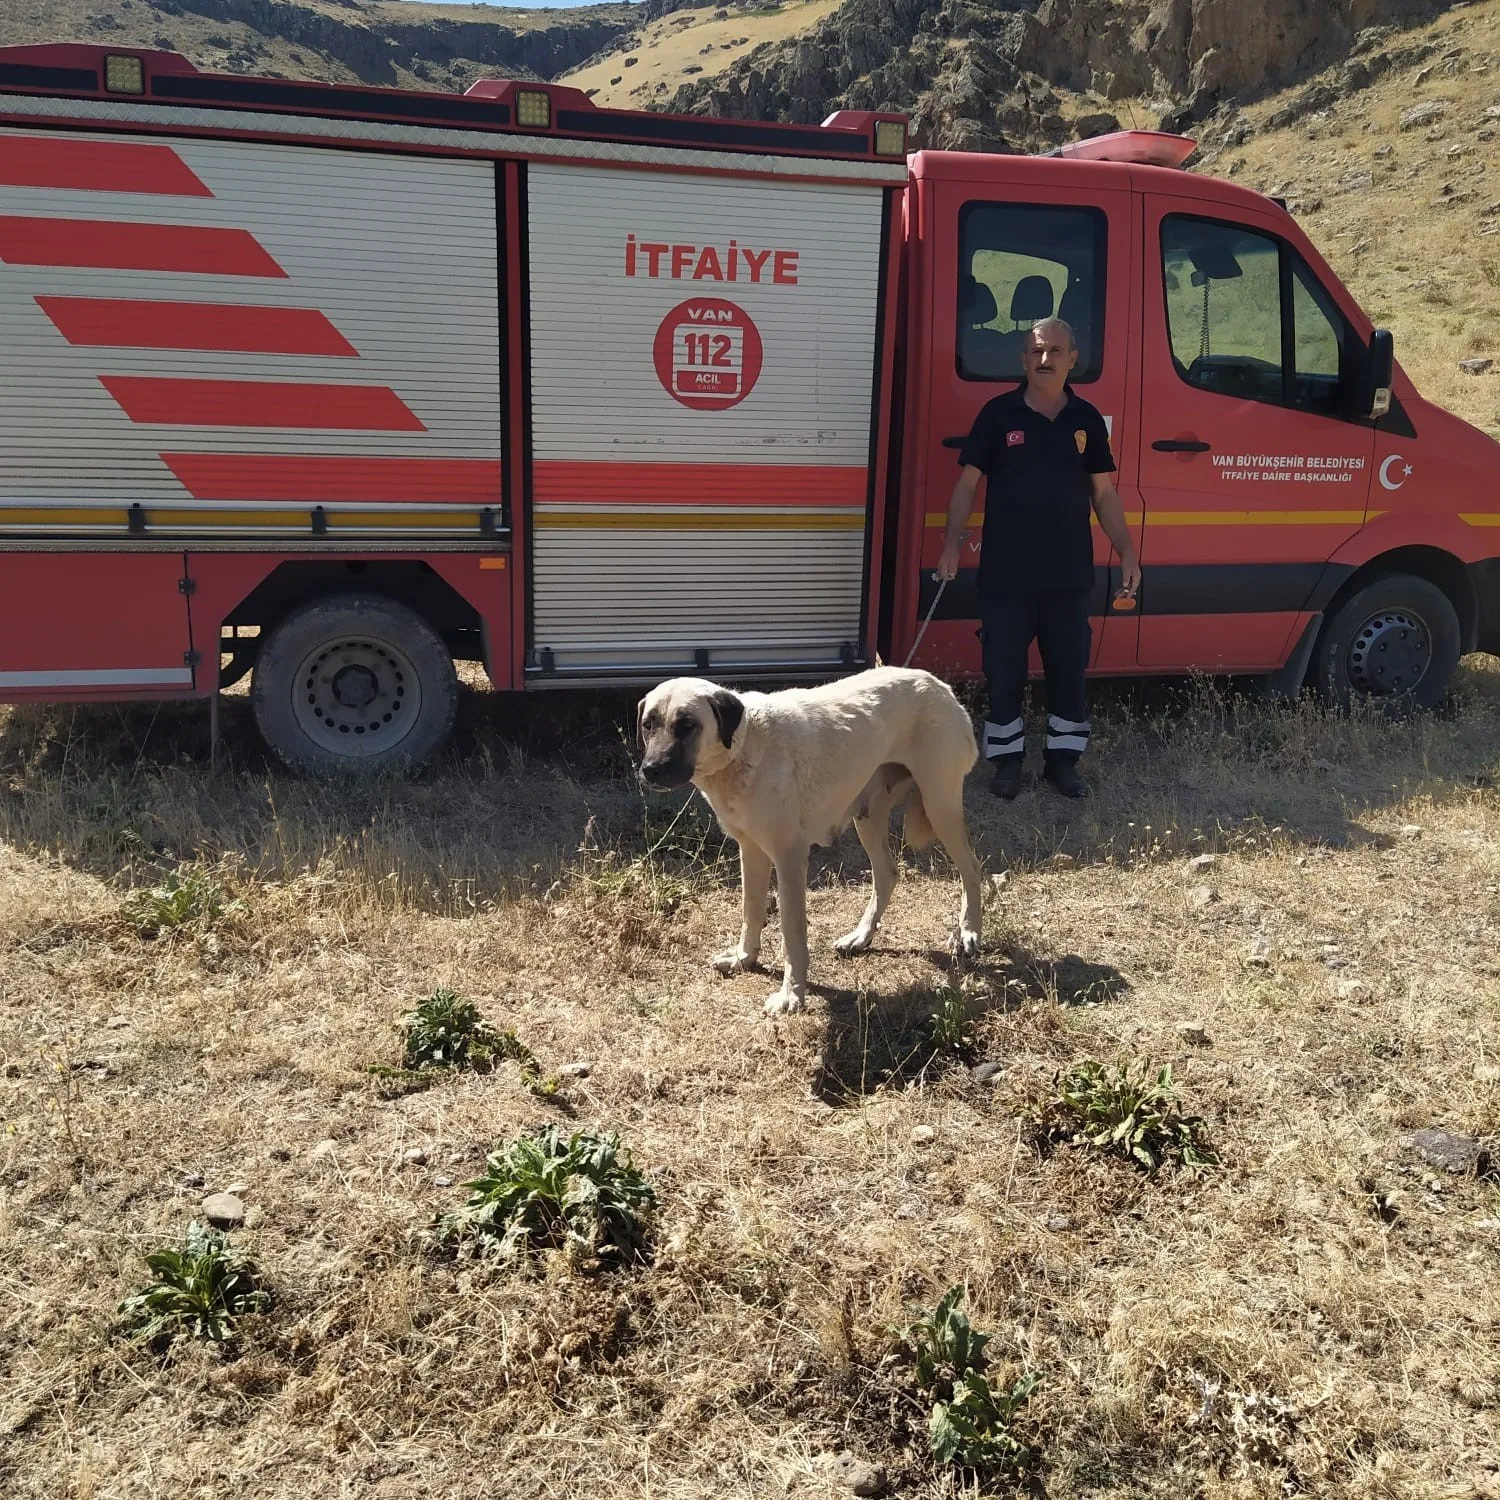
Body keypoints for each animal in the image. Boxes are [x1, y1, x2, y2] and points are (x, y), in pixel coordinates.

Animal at [636, 663, 978, 1014]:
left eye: (687, 725)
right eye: (648, 725)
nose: (650, 770)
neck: (744, 746)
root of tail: (938, 684)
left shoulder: (789, 858)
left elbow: (792, 932)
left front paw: (792, 995)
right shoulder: (751, 851)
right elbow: (751, 911)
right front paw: (744, 958)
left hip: (940, 805)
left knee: (972, 868)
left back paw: (968, 932)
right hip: (868, 816)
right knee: (887, 874)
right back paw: (861, 936)